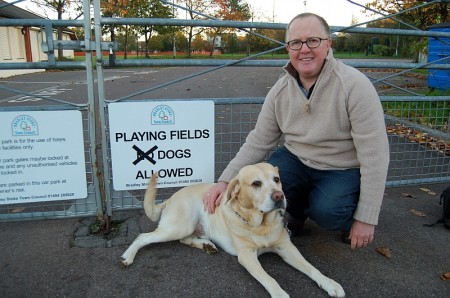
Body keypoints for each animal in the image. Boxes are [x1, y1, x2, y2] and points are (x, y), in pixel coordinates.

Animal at [120, 163, 344, 298]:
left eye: (276, 179)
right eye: (256, 183)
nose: (280, 196)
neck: (260, 224)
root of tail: (169, 199)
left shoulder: (287, 249)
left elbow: (312, 269)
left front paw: (330, 283)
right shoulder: (247, 256)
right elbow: (269, 278)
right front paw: (280, 294)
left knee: (185, 239)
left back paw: (206, 245)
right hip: (178, 226)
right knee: (143, 236)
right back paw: (128, 256)